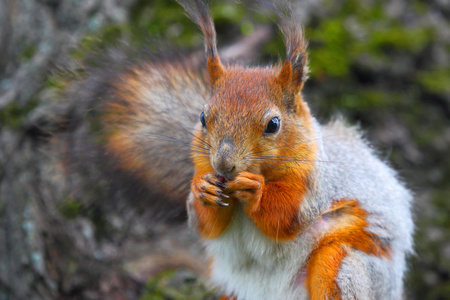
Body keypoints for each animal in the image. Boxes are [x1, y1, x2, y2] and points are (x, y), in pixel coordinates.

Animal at [61, 0, 414, 298]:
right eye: (203, 117)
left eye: (273, 124)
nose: (223, 164)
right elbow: (203, 223)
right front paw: (203, 189)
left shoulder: (316, 188)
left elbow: (289, 218)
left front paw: (256, 190)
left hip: (344, 266)